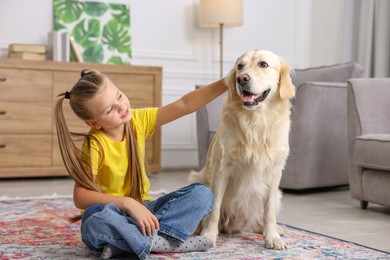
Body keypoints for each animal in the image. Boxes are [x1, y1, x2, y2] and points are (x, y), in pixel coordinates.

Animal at [190, 49, 296, 250]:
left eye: (263, 64)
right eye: (240, 66)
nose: (242, 79)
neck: (256, 122)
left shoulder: (274, 172)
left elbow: (269, 211)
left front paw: (272, 237)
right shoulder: (221, 169)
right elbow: (214, 209)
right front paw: (208, 236)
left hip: (278, 195)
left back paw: (274, 229)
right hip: (198, 179)